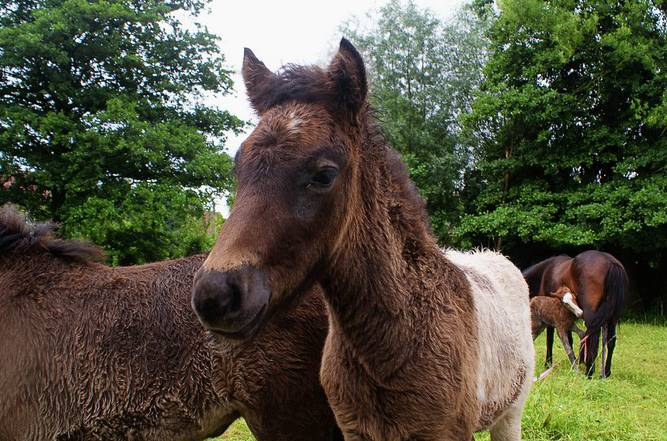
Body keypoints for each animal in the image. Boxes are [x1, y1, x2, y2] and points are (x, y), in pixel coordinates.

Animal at [192, 39, 532, 438]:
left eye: (324, 175)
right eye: (238, 166)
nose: (214, 294)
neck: (389, 346)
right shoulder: (354, 428)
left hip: (510, 414)